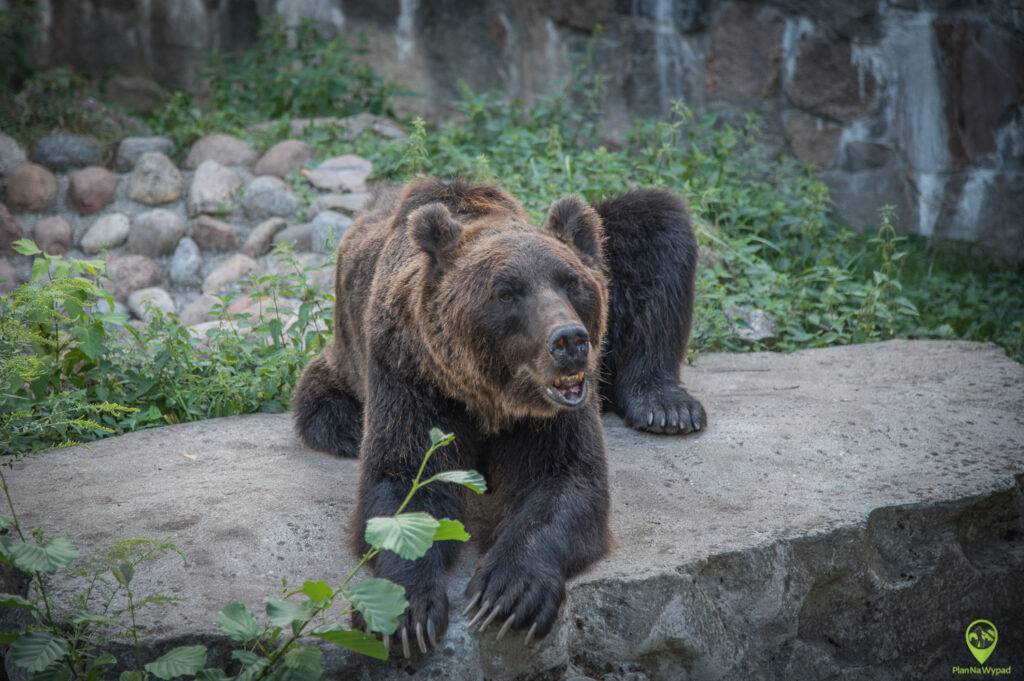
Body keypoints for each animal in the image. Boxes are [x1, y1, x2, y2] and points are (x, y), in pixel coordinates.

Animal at [290, 178, 704, 655]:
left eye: (571, 283)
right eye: (507, 292)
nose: (569, 340)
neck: (491, 396)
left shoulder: (550, 415)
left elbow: (562, 481)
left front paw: (506, 594)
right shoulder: (410, 375)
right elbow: (403, 481)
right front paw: (405, 614)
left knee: (656, 220)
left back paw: (666, 407)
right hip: (344, 357)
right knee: (324, 404)